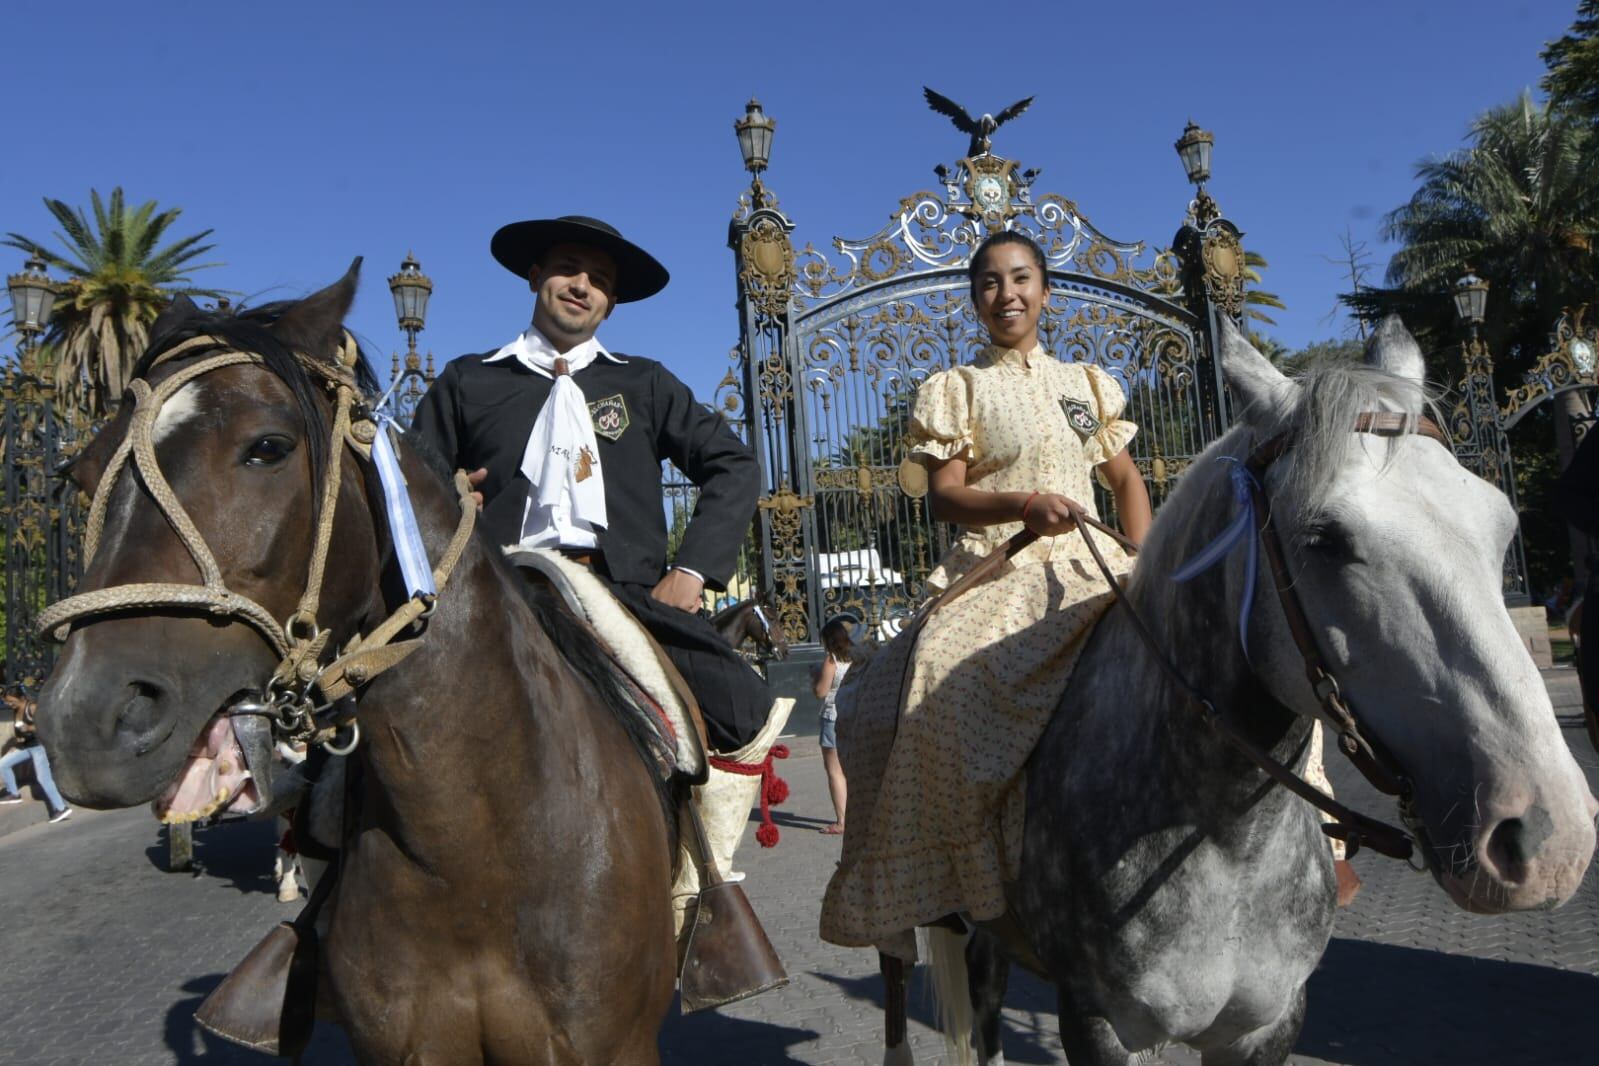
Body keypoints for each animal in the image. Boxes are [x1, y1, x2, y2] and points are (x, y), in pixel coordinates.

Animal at [895, 319, 1592, 1066]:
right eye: (1322, 538)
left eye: (1503, 525)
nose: (1549, 837)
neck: (1223, 838)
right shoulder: (1101, 1025)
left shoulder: (1267, 1024)